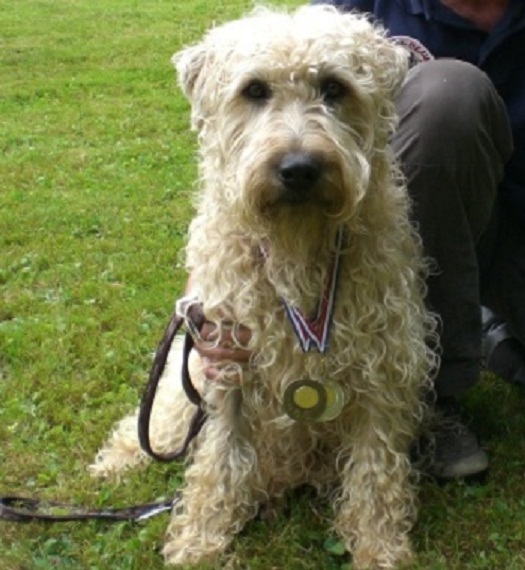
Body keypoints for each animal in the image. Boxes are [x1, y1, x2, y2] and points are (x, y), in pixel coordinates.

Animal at [91, 5, 438, 568]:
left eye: (334, 87)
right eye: (254, 90)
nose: (299, 168)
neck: (297, 254)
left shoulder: (383, 366)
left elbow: (374, 471)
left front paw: (379, 547)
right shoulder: (228, 361)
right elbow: (218, 458)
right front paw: (199, 540)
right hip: (185, 374)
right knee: (154, 421)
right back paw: (115, 463)